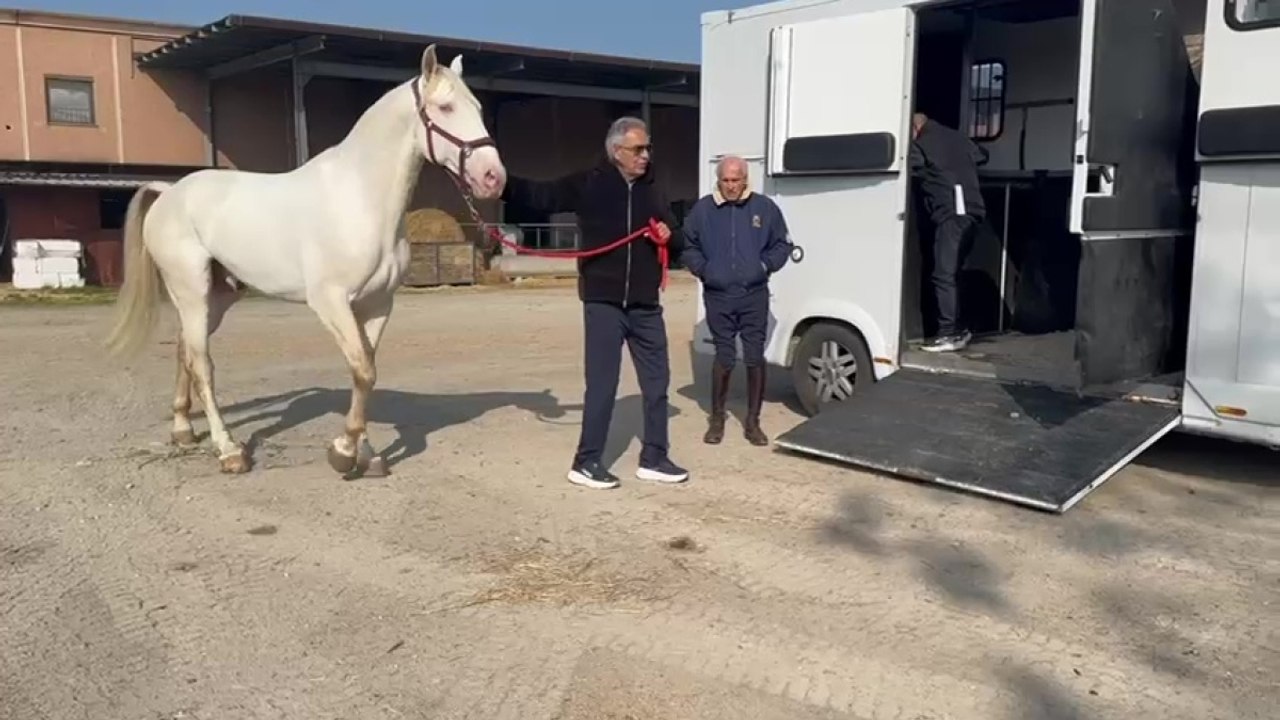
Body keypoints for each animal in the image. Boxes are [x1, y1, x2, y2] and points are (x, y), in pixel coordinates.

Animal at [103, 44, 507, 478]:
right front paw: (344, 451)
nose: (493, 177)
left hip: (217, 295)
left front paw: (365, 453)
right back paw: (228, 450)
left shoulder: (377, 304)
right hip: (190, 289)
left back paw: (182, 430)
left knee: (185, 351)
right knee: (202, 363)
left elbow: (366, 369)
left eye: (478, 107)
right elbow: (363, 368)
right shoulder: (330, 301)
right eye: (445, 107)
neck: (360, 197)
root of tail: (169, 192)